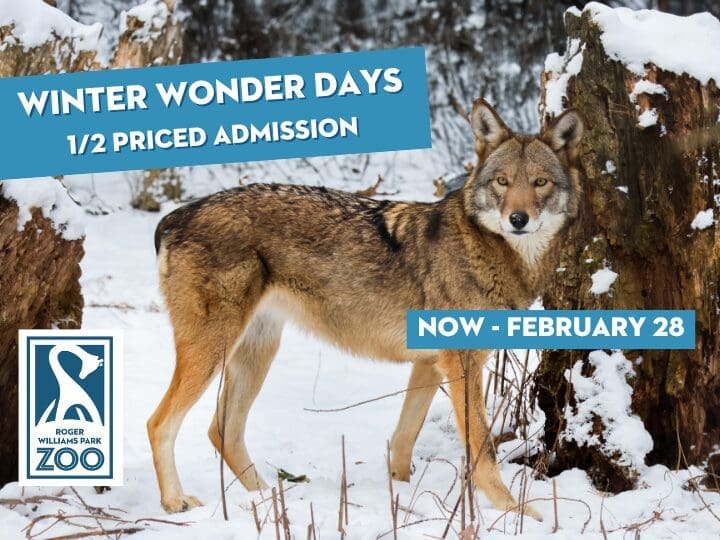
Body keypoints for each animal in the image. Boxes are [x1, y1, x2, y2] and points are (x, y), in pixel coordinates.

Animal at [148, 99, 583, 520]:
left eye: (540, 182)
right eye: (502, 182)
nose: (518, 219)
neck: (491, 253)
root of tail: (177, 215)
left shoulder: (429, 364)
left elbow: (403, 441)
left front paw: (401, 498)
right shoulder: (461, 366)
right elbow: (482, 449)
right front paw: (519, 513)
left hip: (256, 354)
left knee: (223, 431)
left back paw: (267, 498)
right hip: (213, 352)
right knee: (159, 422)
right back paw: (175, 502)